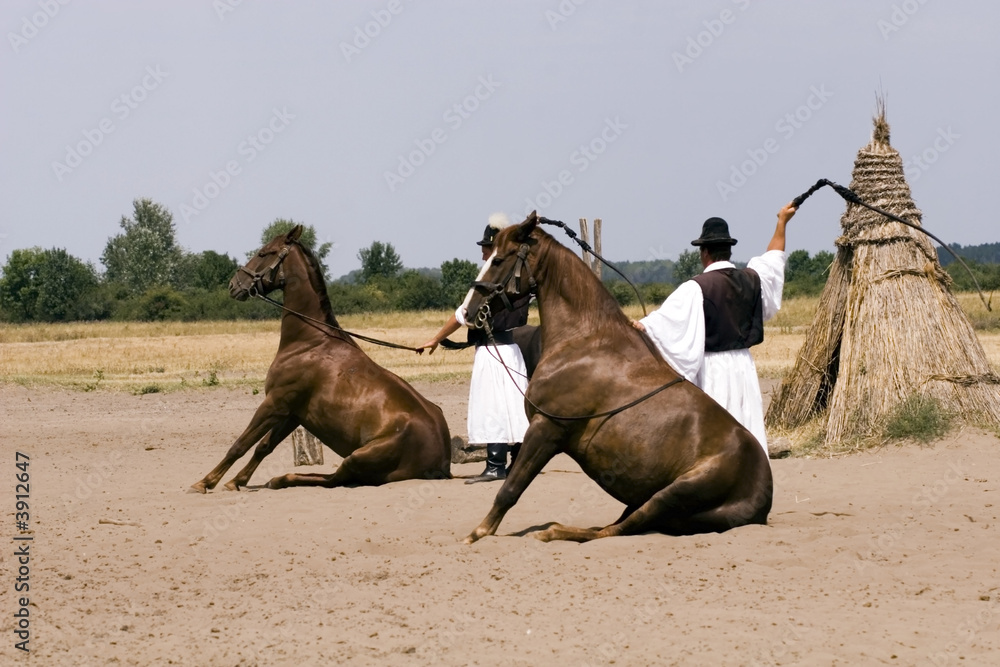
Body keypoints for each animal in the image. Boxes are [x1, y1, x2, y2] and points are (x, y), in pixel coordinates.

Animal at [189, 225, 451, 493]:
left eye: (264, 253)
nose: (234, 285)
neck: (310, 342)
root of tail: (442, 463)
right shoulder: (292, 413)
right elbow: (263, 446)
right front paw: (237, 481)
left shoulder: (274, 404)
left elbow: (240, 444)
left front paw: (205, 482)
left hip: (358, 457)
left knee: (334, 479)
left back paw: (283, 479)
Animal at [461, 212, 773, 543]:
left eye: (498, 259)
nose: (468, 311)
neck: (582, 341)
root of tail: (763, 501)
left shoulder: (546, 429)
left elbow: (510, 489)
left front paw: (478, 533)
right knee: (609, 527)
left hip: (672, 494)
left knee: (614, 531)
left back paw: (552, 531)